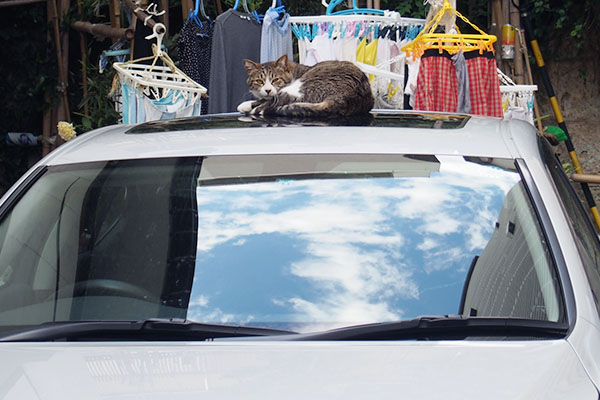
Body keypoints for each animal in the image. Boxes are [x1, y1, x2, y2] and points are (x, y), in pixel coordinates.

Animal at [237, 54, 372, 117]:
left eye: (275, 80)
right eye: (259, 81)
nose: (268, 90)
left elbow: (268, 100)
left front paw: (246, 105)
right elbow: (264, 98)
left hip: (302, 84)